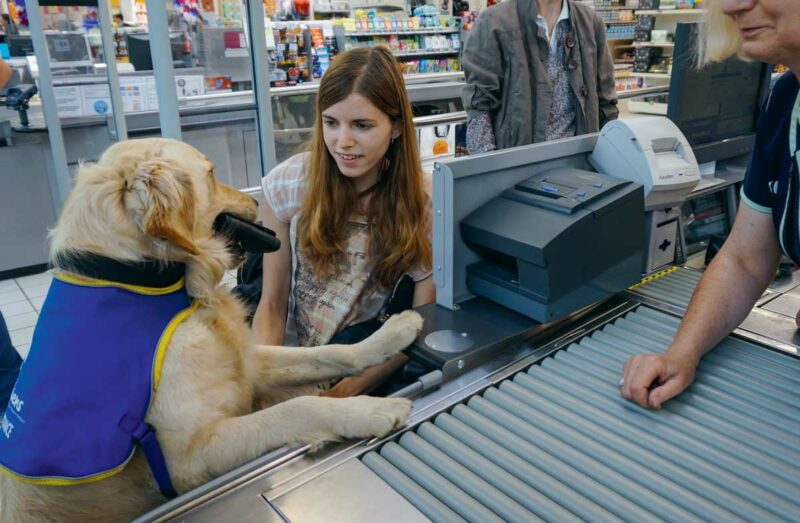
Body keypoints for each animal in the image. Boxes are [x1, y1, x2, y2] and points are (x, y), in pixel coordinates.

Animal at [0, 139, 422, 523]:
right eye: (212, 173)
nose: (258, 203)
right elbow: (298, 407)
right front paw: (372, 409)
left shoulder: (245, 360)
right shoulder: (188, 458)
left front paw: (392, 334)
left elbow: (328, 353)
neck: (149, 279)